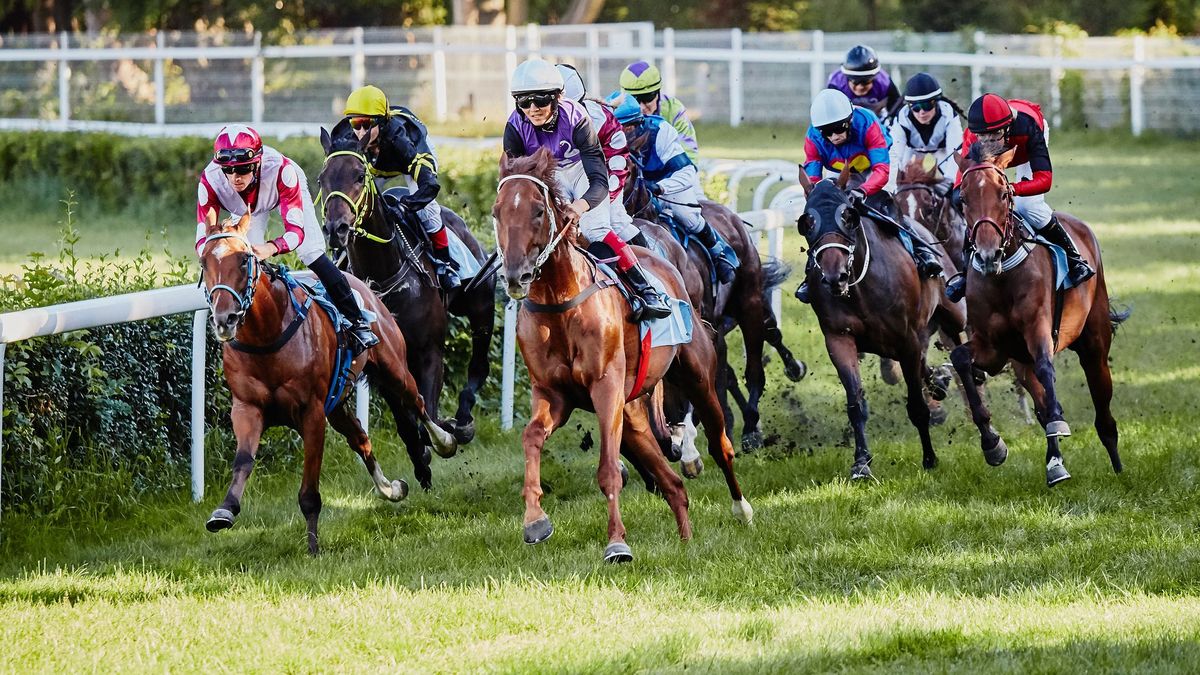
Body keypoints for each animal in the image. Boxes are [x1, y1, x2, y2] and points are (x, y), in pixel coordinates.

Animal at [201, 211, 453, 552]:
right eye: (203, 262)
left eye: (243, 260)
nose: (224, 319)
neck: (266, 335)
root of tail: (365, 285)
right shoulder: (247, 408)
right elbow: (243, 461)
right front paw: (224, 511)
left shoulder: (312, 412)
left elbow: (309, 490)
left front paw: (313, 547)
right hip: (337, 406)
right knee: (361, 438)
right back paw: (392, 489)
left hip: (394, 368)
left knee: (418, 402)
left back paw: (444, 442)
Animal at [319, 120, 496, 485]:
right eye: (321, 178)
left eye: (360, 174)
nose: (336, 228)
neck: (384, 273)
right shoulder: (380, 362)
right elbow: (405, 420)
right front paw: (420, 460)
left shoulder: (429, 351)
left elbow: (427, 410)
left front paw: (441, 437)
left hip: (481, 305)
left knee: (479, 363)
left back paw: (463, 419)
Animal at [489, 148, 748, 562]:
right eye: (497, 212)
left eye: (538, 211)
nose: (516, 275)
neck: (560, 305)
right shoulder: (553, 394)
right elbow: (531, 437)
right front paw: (535, 521)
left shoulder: (606, 387)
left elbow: (609, 469)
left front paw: (617, 543)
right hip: (632, 416)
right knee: (672, 484)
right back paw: (686, 541)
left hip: (696, 376)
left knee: (719, 444)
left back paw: (742, 510)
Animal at [796, 171, 964, 478]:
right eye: (807, 222)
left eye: (848, 216)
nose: (834, 276)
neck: (859, 287)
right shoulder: (839, 339)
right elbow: (855, 403)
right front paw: (861, 463)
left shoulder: (907, 340)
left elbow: (917, 407)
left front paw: (929, 458)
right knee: (927, 366)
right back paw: (939, 380)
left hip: (952, 316)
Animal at [945, 144, 1123, 485]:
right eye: (963, 198)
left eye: (1003, 194)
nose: (987, 255)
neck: (1002, 277)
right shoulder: (993, 349)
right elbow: (961, 359)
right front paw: (992, 444)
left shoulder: (1038, 329)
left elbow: (1046, 367)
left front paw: (1058, 422)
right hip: (1019, 361)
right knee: (1038, 399)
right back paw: (1055, 463)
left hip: (1094, 344)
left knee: (1102, 408)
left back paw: (1117, 467)